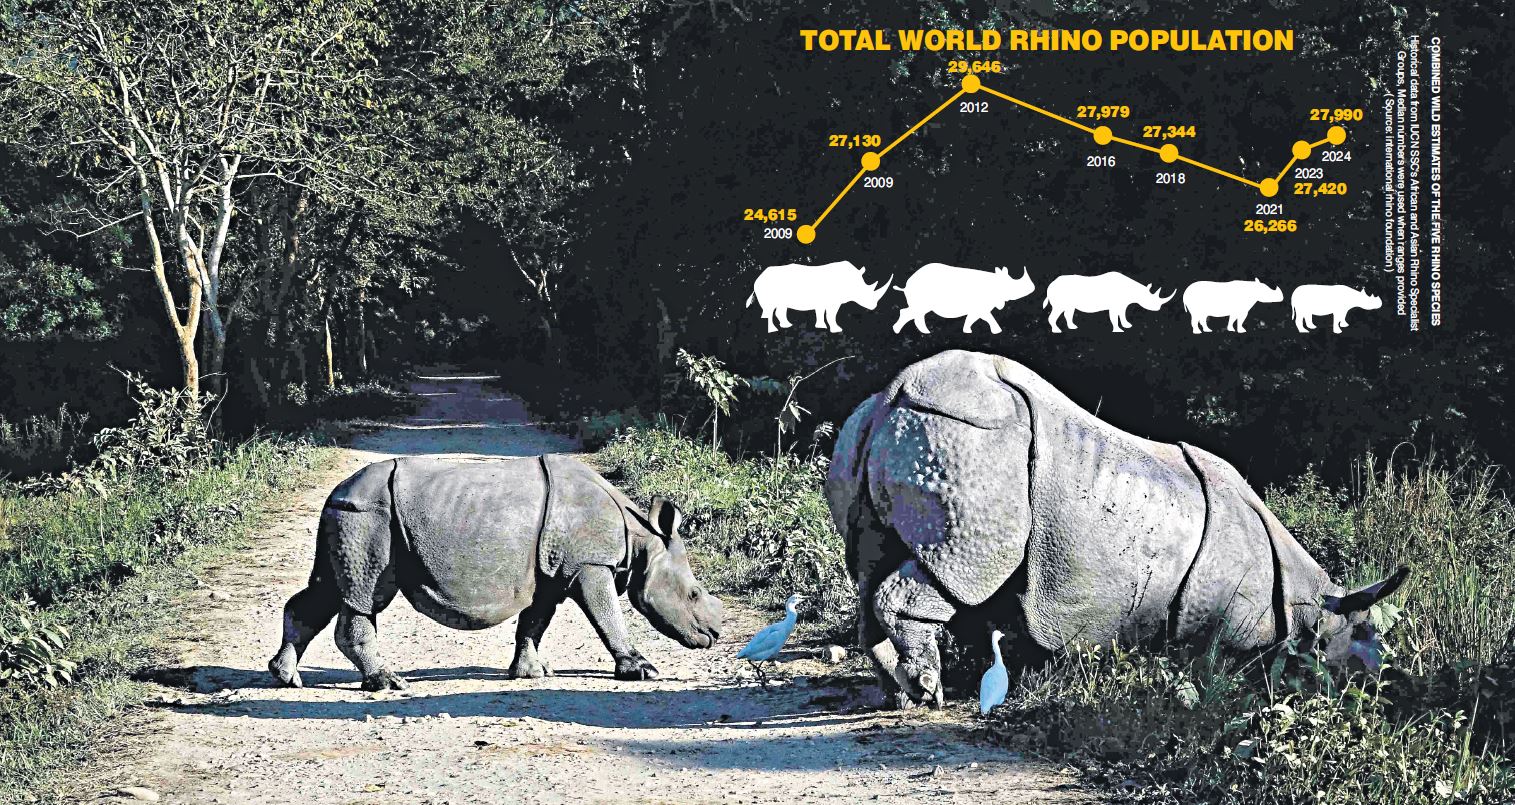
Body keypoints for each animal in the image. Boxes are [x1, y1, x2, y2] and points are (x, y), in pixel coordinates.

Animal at [268, 455, 724, 691]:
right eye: (694, 594)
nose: (714, 635)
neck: (641, 538)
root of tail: (336, 491)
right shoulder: (589, 565)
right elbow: (608, 616)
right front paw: (642, 669)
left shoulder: (552, 574)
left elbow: (534, 622)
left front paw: (530, 672)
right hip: (369, 517)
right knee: (363, 595)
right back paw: (388, 682)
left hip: (348, 514)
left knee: (327, 590)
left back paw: (286, 677)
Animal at [747, 261, 892, 333]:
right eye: (863, 292)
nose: (874, 306)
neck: (851, 281)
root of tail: (758, 277)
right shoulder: (833, 301)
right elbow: (831, 315)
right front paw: (836, 330)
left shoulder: (822, 301)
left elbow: (821, 313)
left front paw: (821, 326)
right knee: (770, 308)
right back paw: (773, 330)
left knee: (781, 307)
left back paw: (787, 325)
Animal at [826, 350, 1409, 708]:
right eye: (1358, 640)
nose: (1383, 687)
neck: (1315, 604)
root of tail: (895, 389)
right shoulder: (1226, 626)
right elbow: (1215, 669)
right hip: (972, 439)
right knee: (958, 568)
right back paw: (927, 689)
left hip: (885, 431)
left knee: (870, 567)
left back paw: (900, 692)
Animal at [892, 264, 1035, 334]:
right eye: (1013, 287)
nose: (1032, 288)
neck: (997, 283)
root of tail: (907, 284)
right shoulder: (981, 307)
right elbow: (988, 318)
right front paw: (997, 331)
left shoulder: (977, 308)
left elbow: (971, 318)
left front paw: (967, 331)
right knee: (918, 310)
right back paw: (900, 330)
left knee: (919, 312)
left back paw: (924, 332)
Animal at [1043, 272, 1174, 333]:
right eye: (1150, 299)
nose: (1157, 308)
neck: (1134, 291)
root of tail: (1051, 284)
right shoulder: (1114, 305)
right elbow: (1114, 317)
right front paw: (1118, 330)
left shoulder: (1122, 304)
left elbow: (1122, 315)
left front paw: (1127, 325)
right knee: (1059, 309)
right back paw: (1057, 330)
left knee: (1069, 310)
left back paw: (1073, 327)